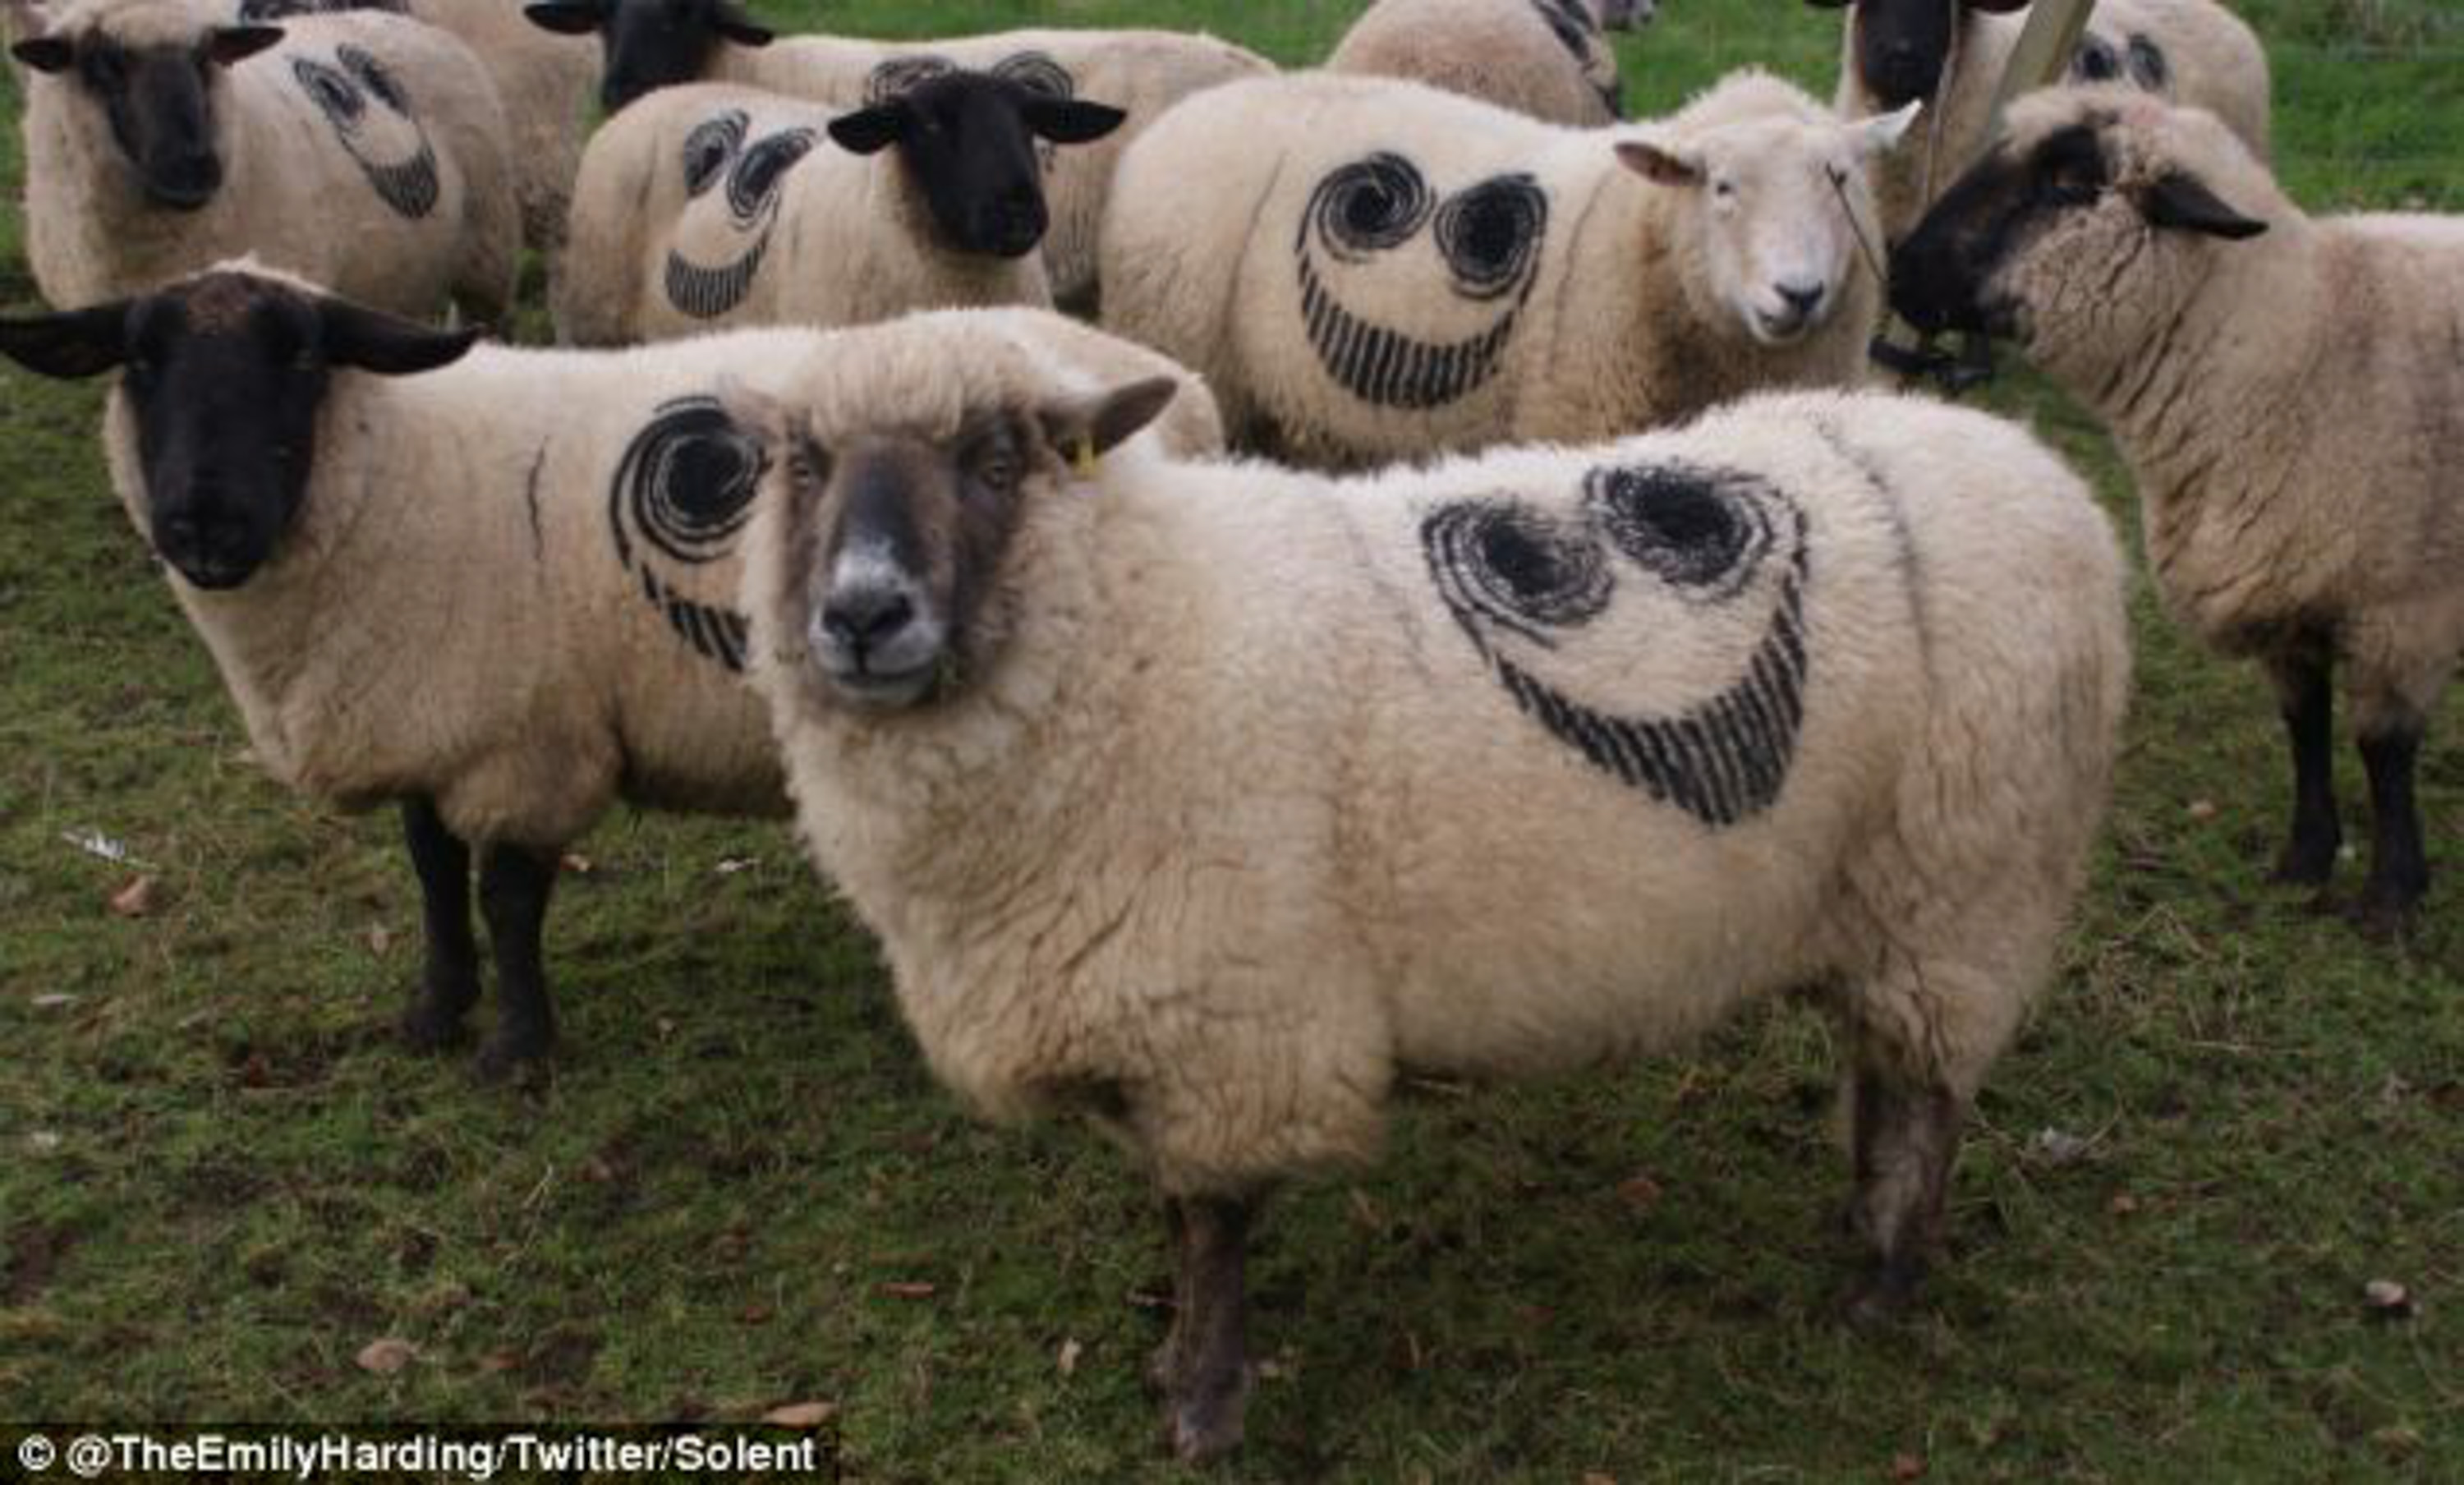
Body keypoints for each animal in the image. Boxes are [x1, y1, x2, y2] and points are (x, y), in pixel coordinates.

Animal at [0, 263, 1225, 1080]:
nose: (202, 523)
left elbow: (507, 893)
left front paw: (517, 1049)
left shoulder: (531, 741)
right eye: (140, 362)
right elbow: (432, 873)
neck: (401, 468)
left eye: (298, 355)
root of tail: (1175, 381)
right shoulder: (434, 717)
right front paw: (434, 1013)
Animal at [727, 328, 2129, 1458]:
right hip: (1895, 897)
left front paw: (1203, 1402)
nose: (863, 613)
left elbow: (1210, 1224)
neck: (1136, 630)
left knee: (1930, 1089)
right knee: (1887, 1066)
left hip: (1964, 880)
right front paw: (1174, 1361)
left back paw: (1886, 1280)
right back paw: (1859, 1223)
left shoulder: (1237, 1025)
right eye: (800, 462)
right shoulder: (1161, 1020)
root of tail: (2045, 478)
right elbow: (1176, 1207)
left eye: (998, 457)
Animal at [1891, 88, 2463, 936]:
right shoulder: (2284, 590)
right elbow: (2306, 726)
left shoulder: (2405, 608)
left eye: (2069, 182)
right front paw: (2303, 861)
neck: (2306, 350)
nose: (1899, 271)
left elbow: (2382, 751)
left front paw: (2391, 897)